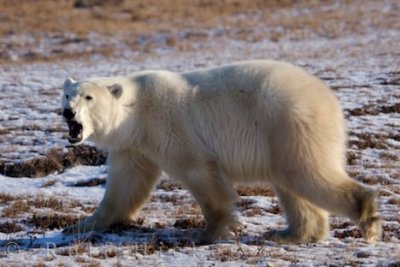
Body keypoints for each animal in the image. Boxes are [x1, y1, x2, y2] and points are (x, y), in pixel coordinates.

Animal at [60, 60, 382, 245]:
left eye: (88, 97)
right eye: (67, 95)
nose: (67, 112)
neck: (137, 110)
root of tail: (328, 99)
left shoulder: (171, 127)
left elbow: (201, 175)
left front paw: (207, 233)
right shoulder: (135, 145)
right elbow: (124, 185)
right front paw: (79, 226)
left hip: (287, 122)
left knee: (307, 174)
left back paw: (366, 217)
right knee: (293, 184)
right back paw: (291, 234)